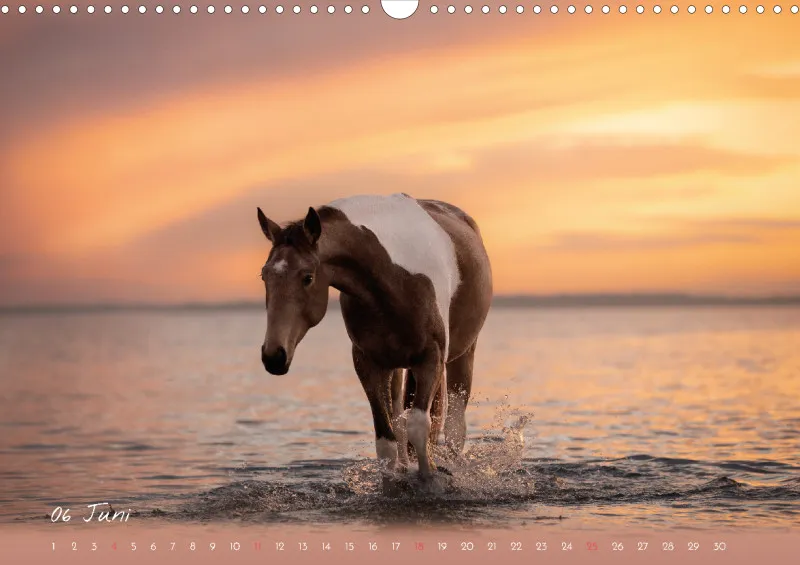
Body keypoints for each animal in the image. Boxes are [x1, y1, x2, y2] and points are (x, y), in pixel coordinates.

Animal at [256, 193, 493, 489]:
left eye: (307, 277)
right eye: (264, 275)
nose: (273, 356)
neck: (392, 277)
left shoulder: (432, 359)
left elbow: (419, 426)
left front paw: (429, 479)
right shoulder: (369, 363)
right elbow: (386, 440)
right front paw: (392, 482)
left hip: (463, 355)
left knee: (453, 427)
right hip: (397, 367)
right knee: (399, 420)